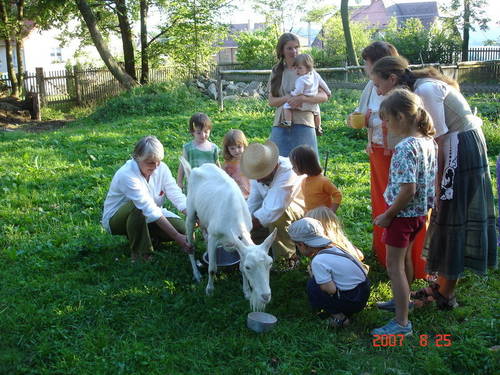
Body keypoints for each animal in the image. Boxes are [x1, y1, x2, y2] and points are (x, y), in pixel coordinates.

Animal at [179, 159, 276, 312]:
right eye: (249, 267)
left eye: (270, 263)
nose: (265, 296)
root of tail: (197, 168)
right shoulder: (214, 236)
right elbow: (212, 268)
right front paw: (209, 291)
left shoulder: (240, 241)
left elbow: (239, 266)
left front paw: (247, 292)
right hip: (190, 213)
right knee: (190, 245)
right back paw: (196, 274)